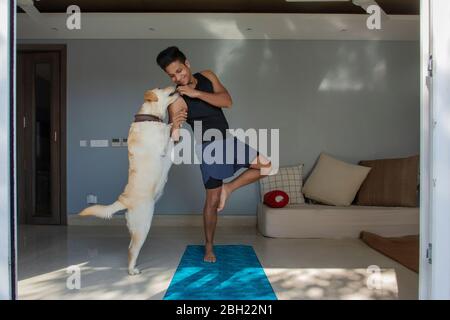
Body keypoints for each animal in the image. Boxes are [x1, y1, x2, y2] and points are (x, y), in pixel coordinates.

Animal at [78, 87, 180, 276]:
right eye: (161, 88)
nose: (175, 86)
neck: (149, 117)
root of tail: (123, 200)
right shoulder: (162, 141)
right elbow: (168, 128)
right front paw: (175, 123)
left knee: (131, 247)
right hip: (143, 226)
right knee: (132, 249)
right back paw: (132, 270)